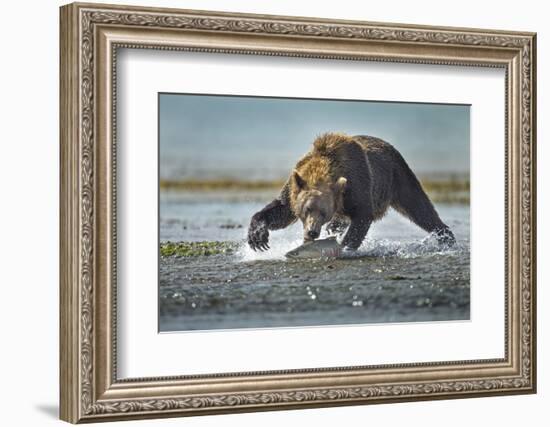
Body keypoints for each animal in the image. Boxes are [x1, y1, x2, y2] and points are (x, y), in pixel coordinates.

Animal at [250, 133, 458, 251]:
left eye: (323, 212)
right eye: (306, 209)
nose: (312, 231)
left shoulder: (356, 185)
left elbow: (363, 215)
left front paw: (344, 246)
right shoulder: (295, 185)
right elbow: (282, 209)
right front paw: (257, 237)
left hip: (398, 175)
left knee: (419, 208)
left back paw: (446, 237)